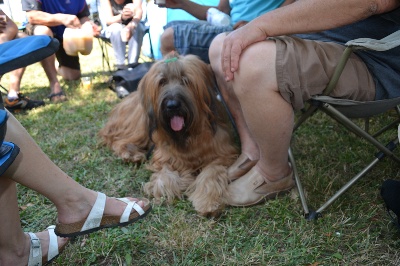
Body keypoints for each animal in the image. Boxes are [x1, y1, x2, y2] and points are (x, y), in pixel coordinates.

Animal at [99, 53, 239, 217]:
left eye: (185, 80)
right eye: (162, 82)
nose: (172, 105)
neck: (188, 134)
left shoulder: (223, 155)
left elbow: (212, 172)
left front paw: (208, 202)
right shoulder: (163, 156)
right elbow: (165, 173)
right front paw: (172, 184)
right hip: (139, 125)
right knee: (117, 140)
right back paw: (131, 154)